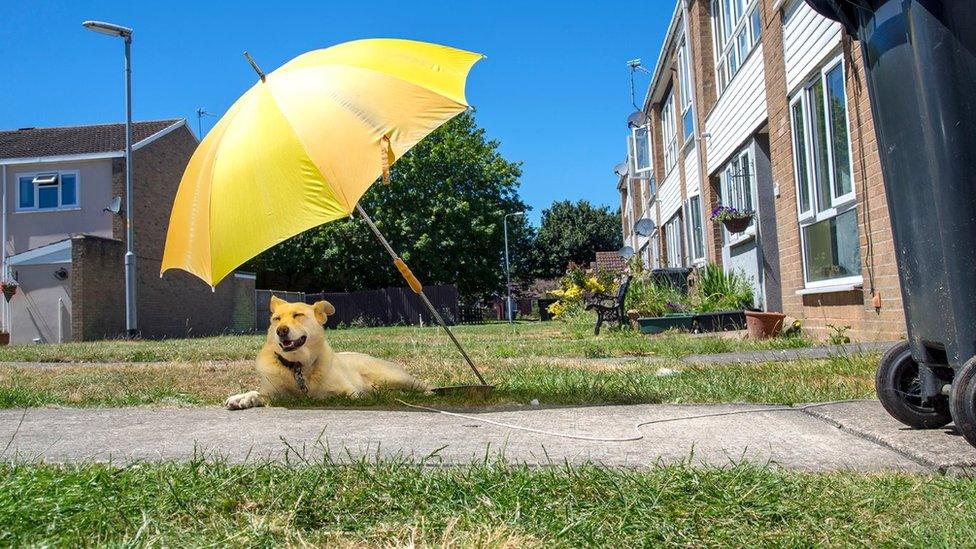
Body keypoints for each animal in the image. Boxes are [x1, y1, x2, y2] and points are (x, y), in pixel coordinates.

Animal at [229, 296, 430, 406]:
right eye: (276, 319)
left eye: (298, 315)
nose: (281, 330)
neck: (299, 367)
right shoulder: (273, 391)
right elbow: (259, 393)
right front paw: (244, 398)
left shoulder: (351, 393)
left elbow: (336, 395)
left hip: (398, 378)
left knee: (425, 386)